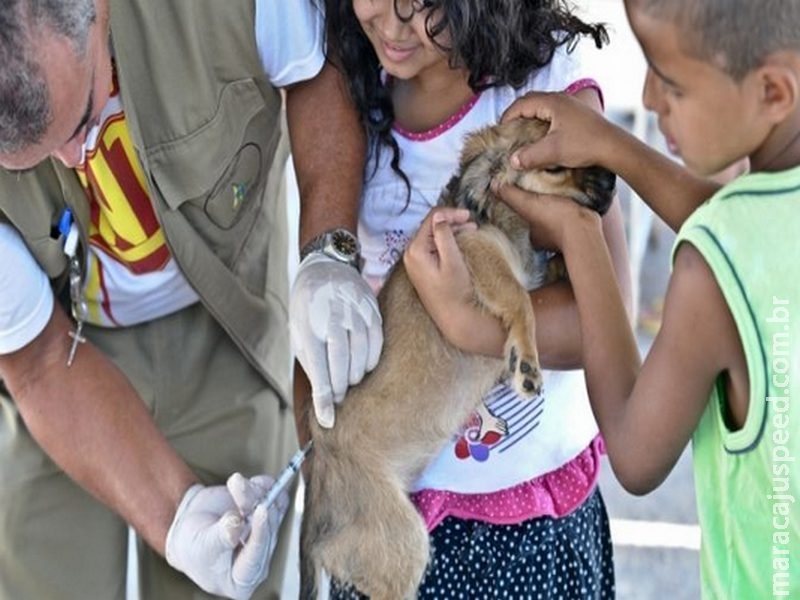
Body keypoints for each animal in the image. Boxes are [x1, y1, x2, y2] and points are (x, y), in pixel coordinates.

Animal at [296, 118, 616, 600]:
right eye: (556, 167)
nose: (614, 180)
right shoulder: (476, 251)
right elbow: (520, 298)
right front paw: (525, 362)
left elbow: (547, 276)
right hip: (403, 542)